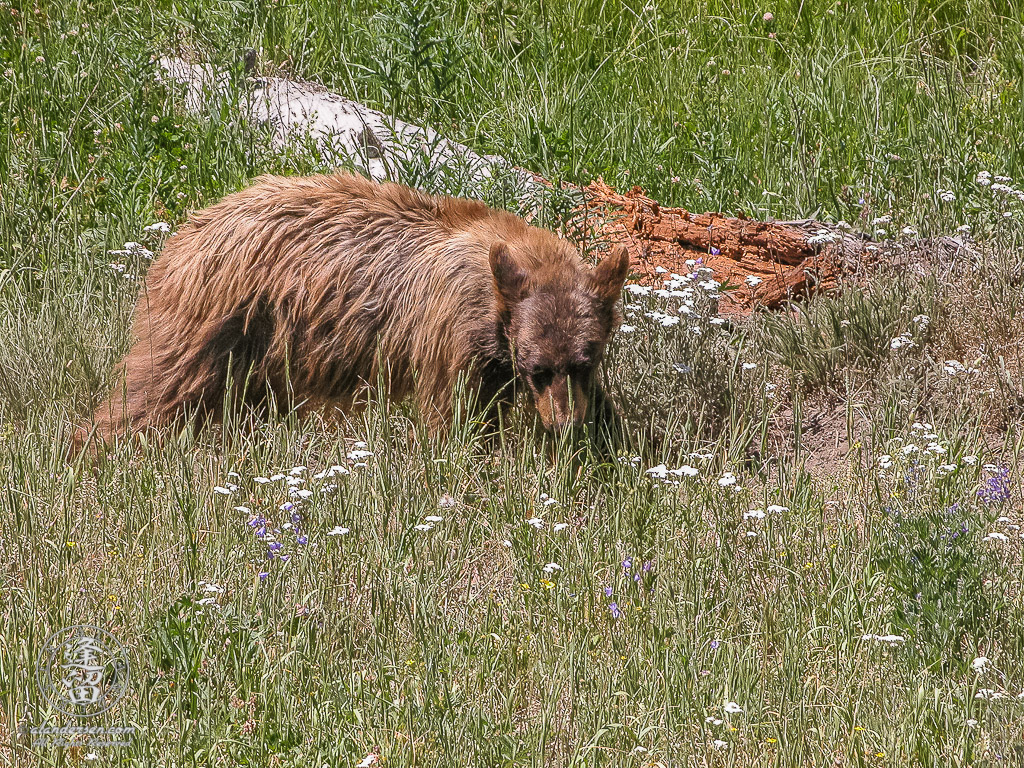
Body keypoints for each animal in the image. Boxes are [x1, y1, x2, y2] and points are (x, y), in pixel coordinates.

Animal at [83, 171, 630, 448]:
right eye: (538, 368)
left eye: (585, 361)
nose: (566, 425)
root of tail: (189, 228)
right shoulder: (452, 333)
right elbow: (453, 414)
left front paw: (608, 439)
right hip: (219, 316)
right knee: (159, 386)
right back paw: (100, 446)